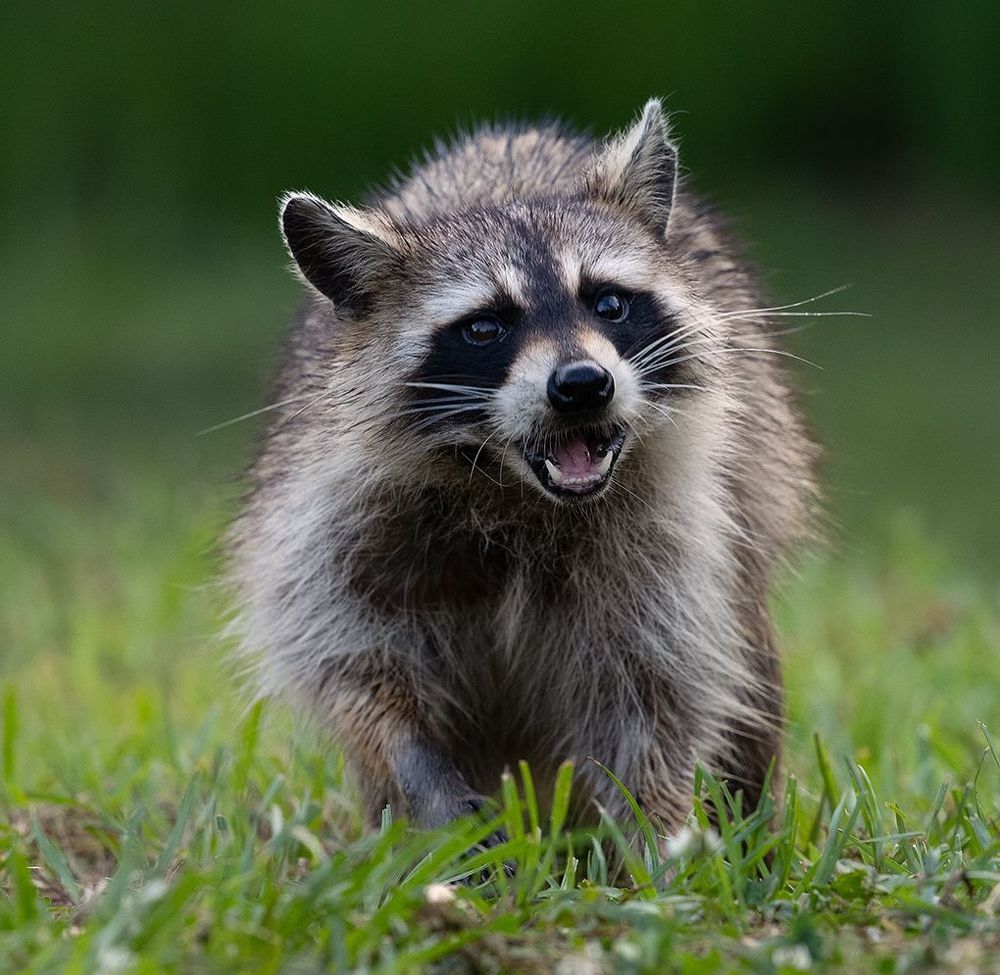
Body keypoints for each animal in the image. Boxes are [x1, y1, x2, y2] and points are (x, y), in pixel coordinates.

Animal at [227, 99, 816, 839]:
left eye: (608, 303)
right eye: (485, 327)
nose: (583, 384)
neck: (512, 489)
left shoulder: (668, 533)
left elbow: (656, 689)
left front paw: (655, 830)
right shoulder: (335, 515)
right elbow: (349, 663)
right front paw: (415, 764)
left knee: (746, 654)